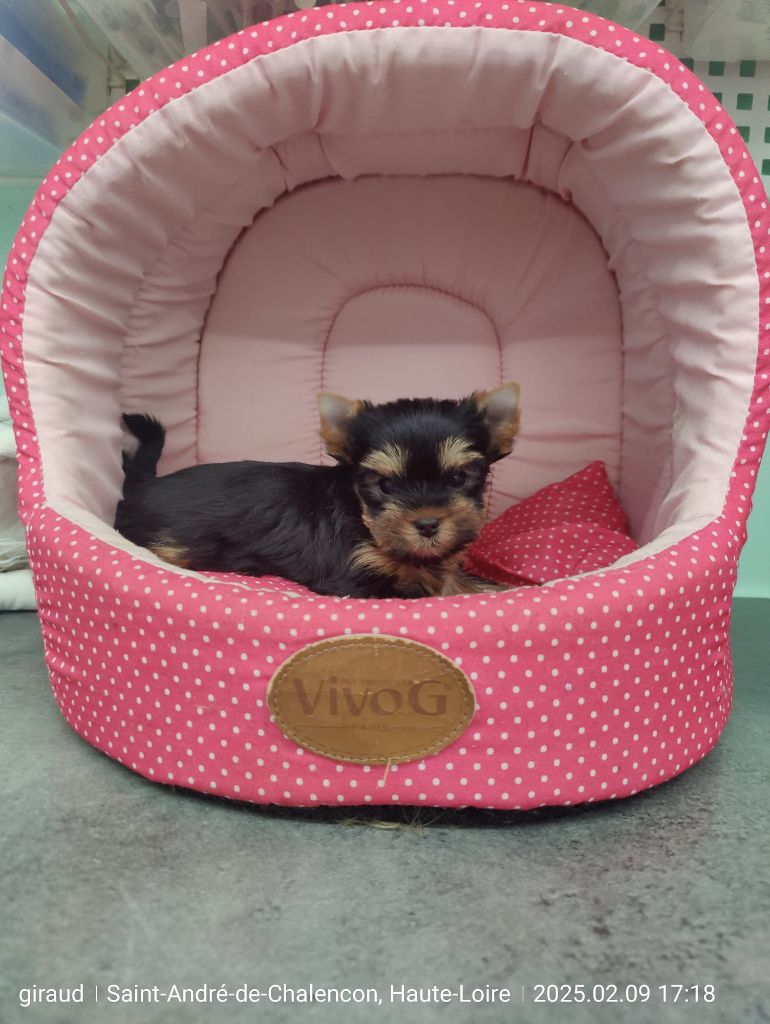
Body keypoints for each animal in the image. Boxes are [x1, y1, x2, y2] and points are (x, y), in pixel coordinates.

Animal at [115, 384, 520, 599]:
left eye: (458, 479)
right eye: (385, 485)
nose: (427, 524)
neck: (361, 517)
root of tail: (145, 485)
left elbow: (461, 580)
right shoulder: (356, 577)